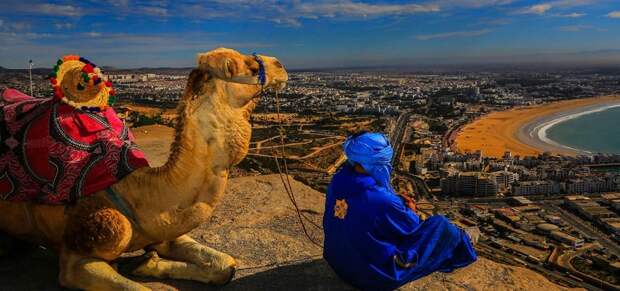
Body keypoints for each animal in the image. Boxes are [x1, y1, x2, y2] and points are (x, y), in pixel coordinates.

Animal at [0, 48, 288, 290]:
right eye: (251, 67)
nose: (281, 64)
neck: (138, 192)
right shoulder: (78, 256)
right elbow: (134, 287)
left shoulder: (164, 228)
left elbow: (225, 266)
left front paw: (145, 263)